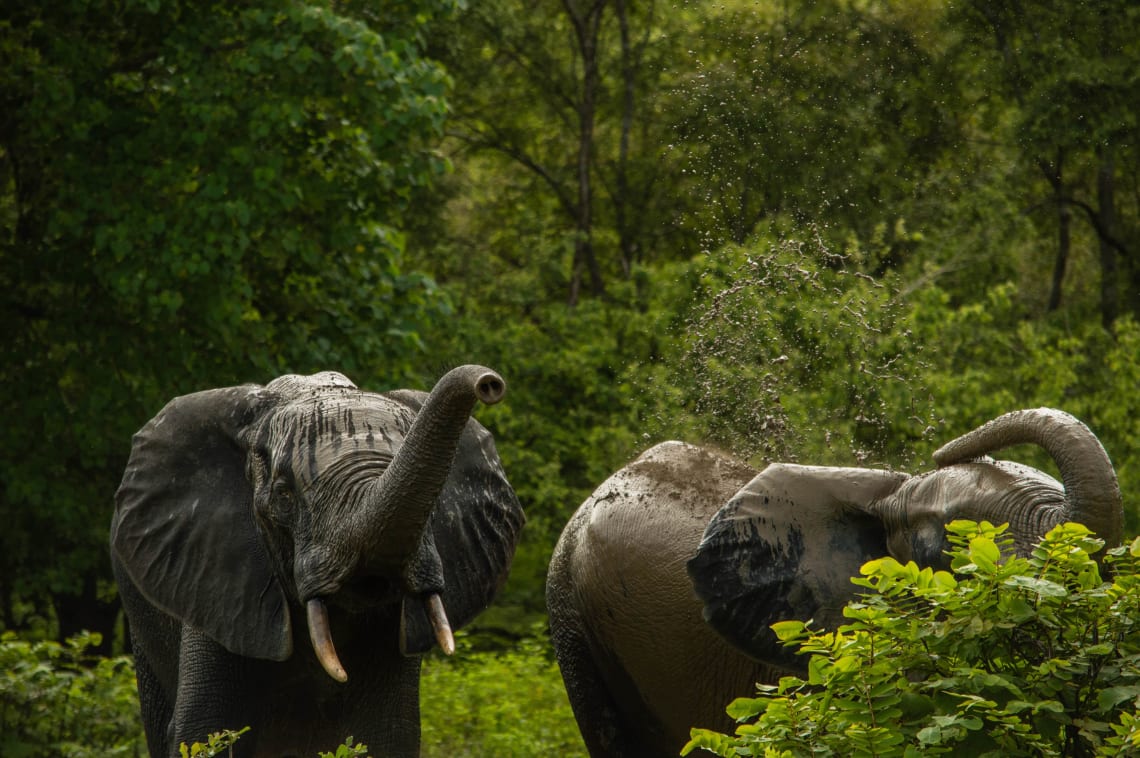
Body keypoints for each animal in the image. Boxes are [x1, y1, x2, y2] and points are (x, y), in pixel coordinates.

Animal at [108, 364, 526, 752]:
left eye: (435, 498)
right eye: (283, 494)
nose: (489, 383)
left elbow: (384, 737)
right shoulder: (217, 577)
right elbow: (202, 731)